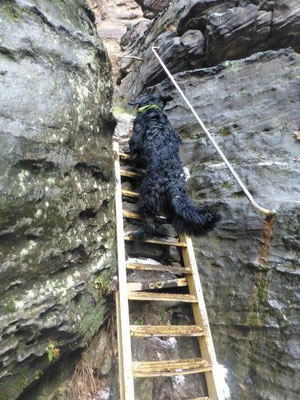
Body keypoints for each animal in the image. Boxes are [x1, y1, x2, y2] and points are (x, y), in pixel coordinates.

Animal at [127, 93, 219, 238]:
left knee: (150, 224)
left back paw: (136, 234)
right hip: (170, 206)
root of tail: (174, 184)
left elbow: (135, 157)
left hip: (149, 196)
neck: (153, 107)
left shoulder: (135, 142)